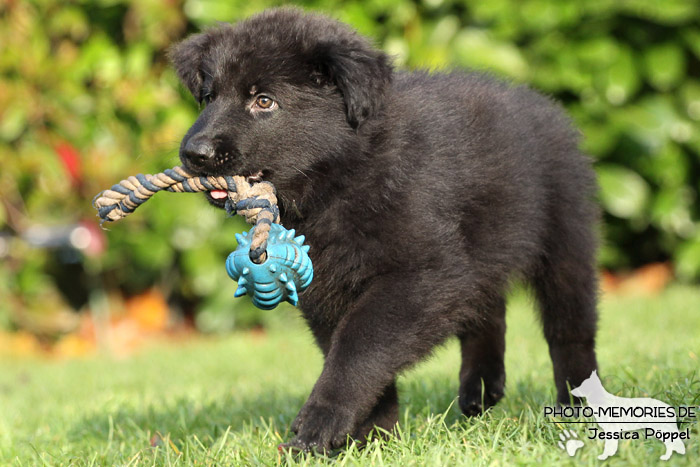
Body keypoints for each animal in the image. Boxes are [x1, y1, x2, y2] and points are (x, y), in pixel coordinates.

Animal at [168, 7, 596, 454]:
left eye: (263, 101)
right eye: (209, 97)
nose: (194, 153)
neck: (344, 178)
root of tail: (540, 102)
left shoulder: (423, 273)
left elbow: (360, 344)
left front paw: (320, 424)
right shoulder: (327, 289)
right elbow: (350, 351)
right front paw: (373, 437)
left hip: (564, 237)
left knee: (569, 327)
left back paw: (578, 404)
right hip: (484, 245)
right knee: (486, 310)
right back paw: (479, 391)